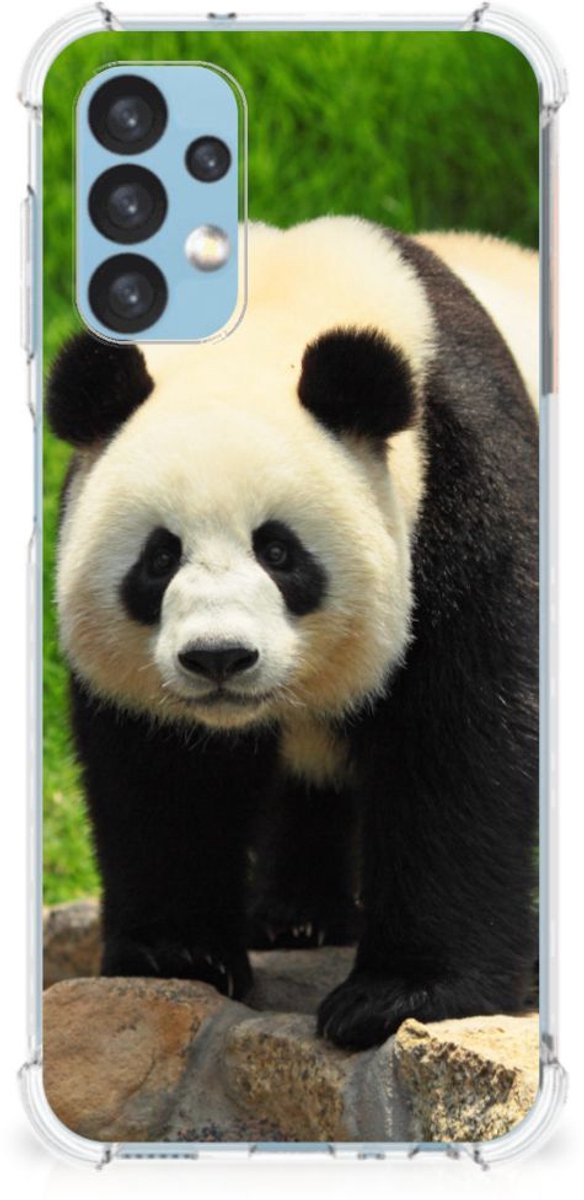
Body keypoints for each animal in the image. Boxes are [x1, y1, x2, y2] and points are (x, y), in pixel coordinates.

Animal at [47, 217, 539, 1050]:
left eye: (278, 551)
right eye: (159, 557)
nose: (218, 658)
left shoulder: (466, 488)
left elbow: (463, 740)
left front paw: (398, 994)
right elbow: (160, 770)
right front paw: (179, 955)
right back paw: (297, 917)